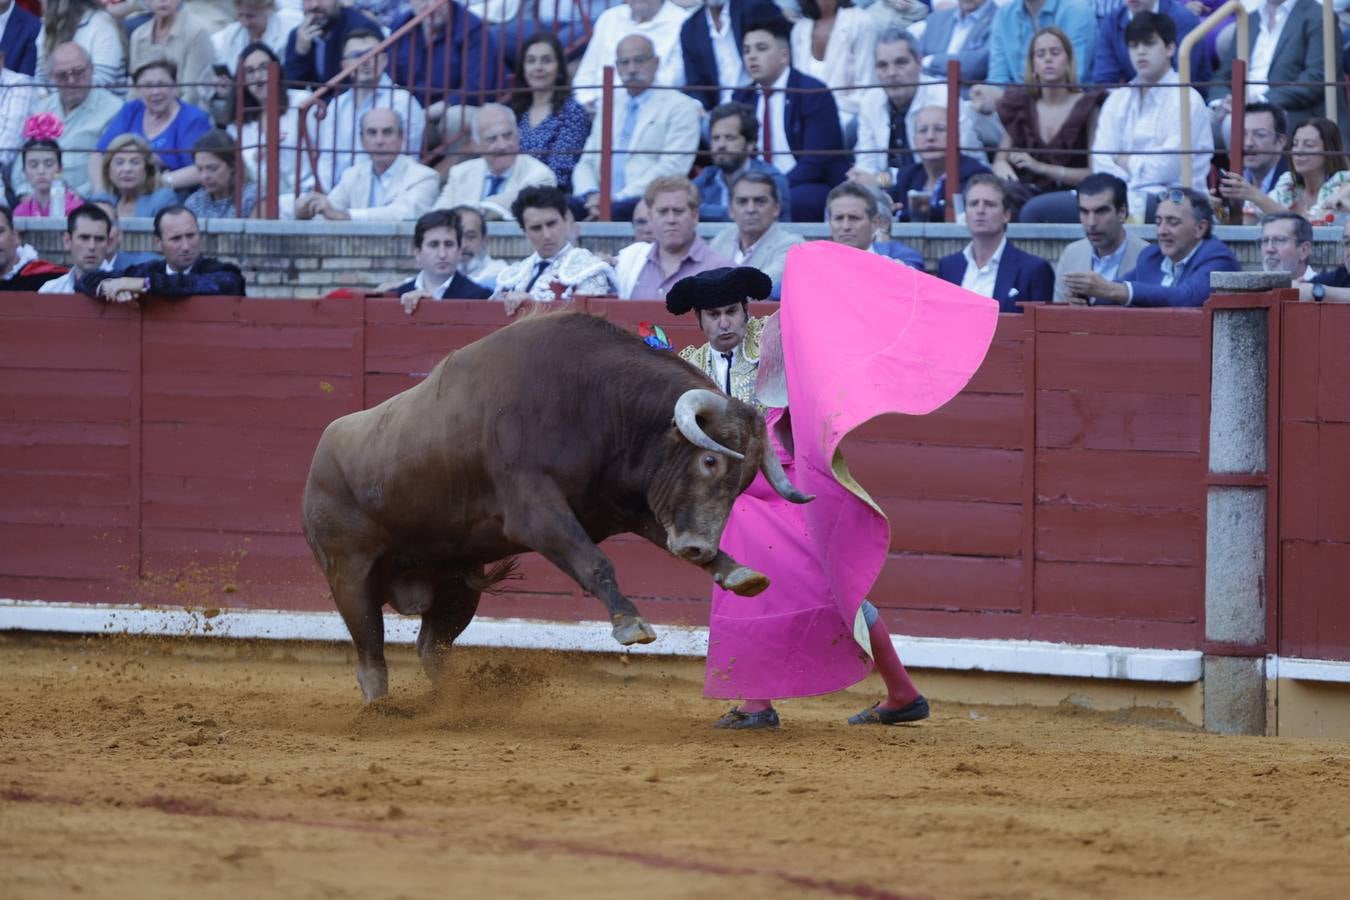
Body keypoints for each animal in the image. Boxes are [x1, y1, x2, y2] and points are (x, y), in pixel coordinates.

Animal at [303, 311, 810, 701]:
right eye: (709, 460)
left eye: (744, 484)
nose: (697, 549)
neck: (598, 403)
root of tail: (319, 455)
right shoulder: (537, 514)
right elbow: (594, 561)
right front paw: (632, 624)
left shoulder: (622, 508)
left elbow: (651, 538)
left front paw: (737, 572)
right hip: (349, 576)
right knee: (370, 654)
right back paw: (383, 711)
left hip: (456, 585)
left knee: (433, 647)